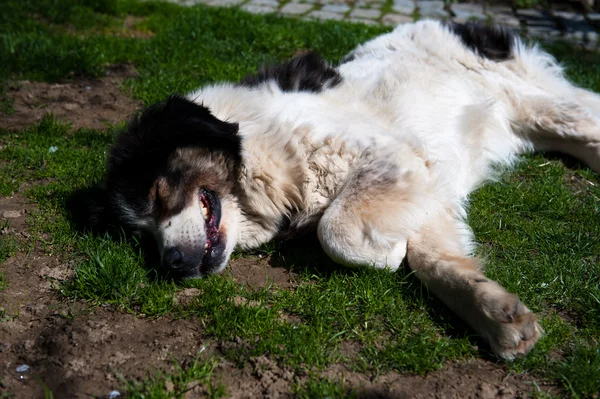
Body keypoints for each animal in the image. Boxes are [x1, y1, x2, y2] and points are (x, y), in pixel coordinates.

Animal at [88, 20, 600, 360]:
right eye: (141, 235)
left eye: (158, 196)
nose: (172, 263)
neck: (255, 142)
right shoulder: (420, 188)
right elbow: (434, 261)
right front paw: (494, 313)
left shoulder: (390, 157)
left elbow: (336, 230)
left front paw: (384, 254)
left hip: (541, 106)